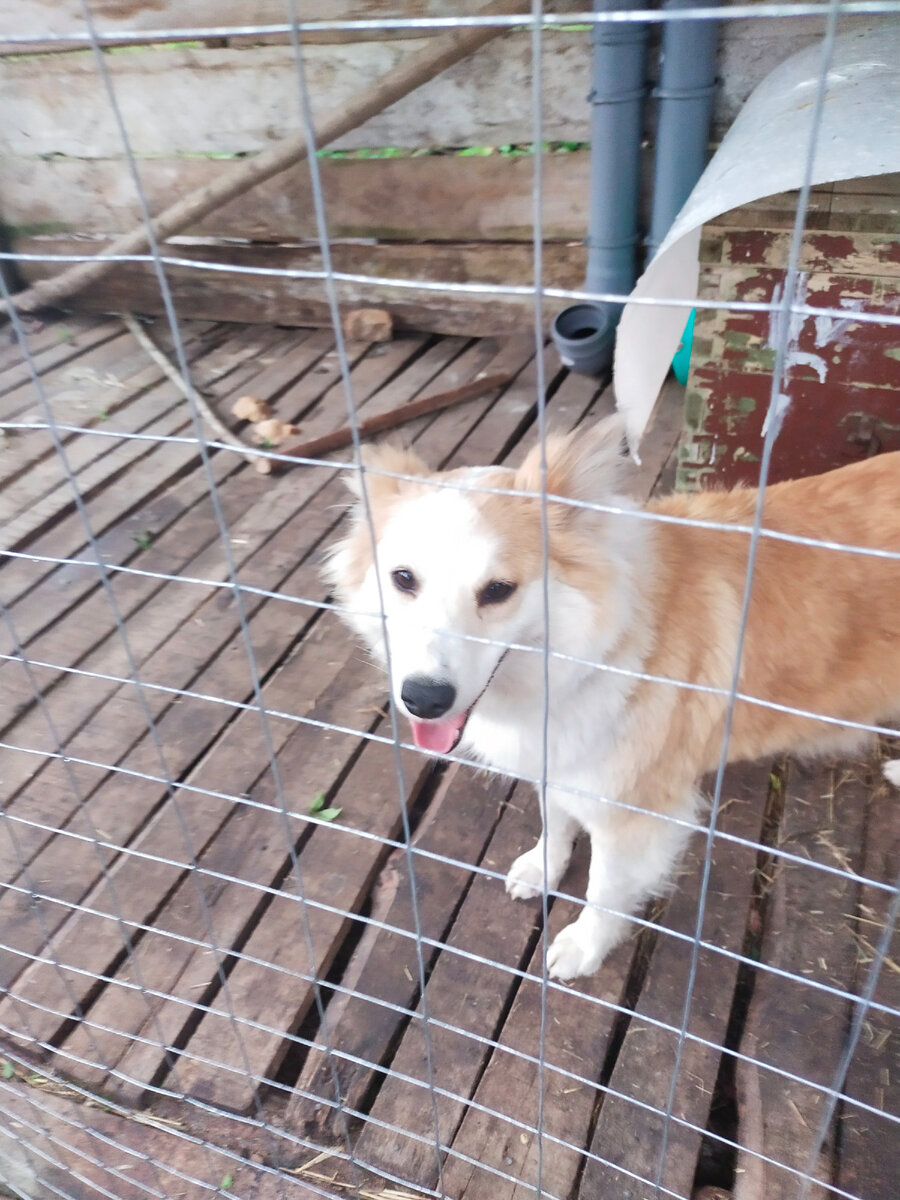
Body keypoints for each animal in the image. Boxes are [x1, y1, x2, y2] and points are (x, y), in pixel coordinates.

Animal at [326, 417, 900, 979]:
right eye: (404, 579)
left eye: (498, 590)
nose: (423, 699)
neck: (603, 641)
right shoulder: (558, 762)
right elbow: (554, 823)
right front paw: (543, 867)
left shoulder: (635, 815)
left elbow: (603, 890)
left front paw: (585, 947)